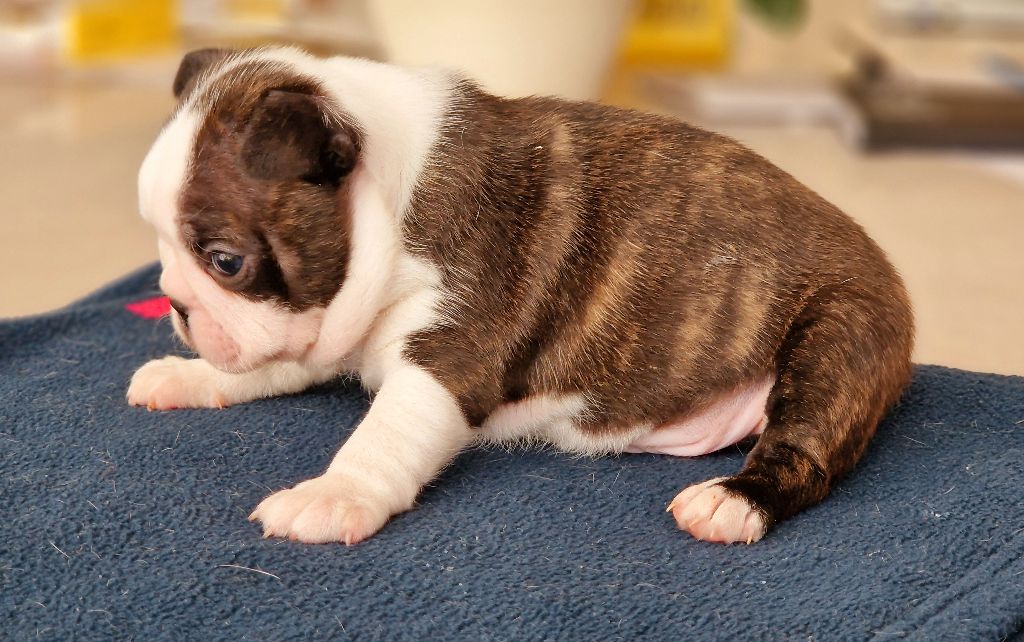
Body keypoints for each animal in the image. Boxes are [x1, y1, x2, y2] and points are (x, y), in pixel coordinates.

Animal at [128, 47, 914, 546]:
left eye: (226, 261)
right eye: (160, 246)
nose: (176, 306)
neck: (392, 194)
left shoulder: (450, 349)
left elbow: (385, 434)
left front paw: (335, 494)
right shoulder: (324, 327)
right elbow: (273, 363)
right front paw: (191, 377)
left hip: (841, 332)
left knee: (803, 450)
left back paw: (732, 502)